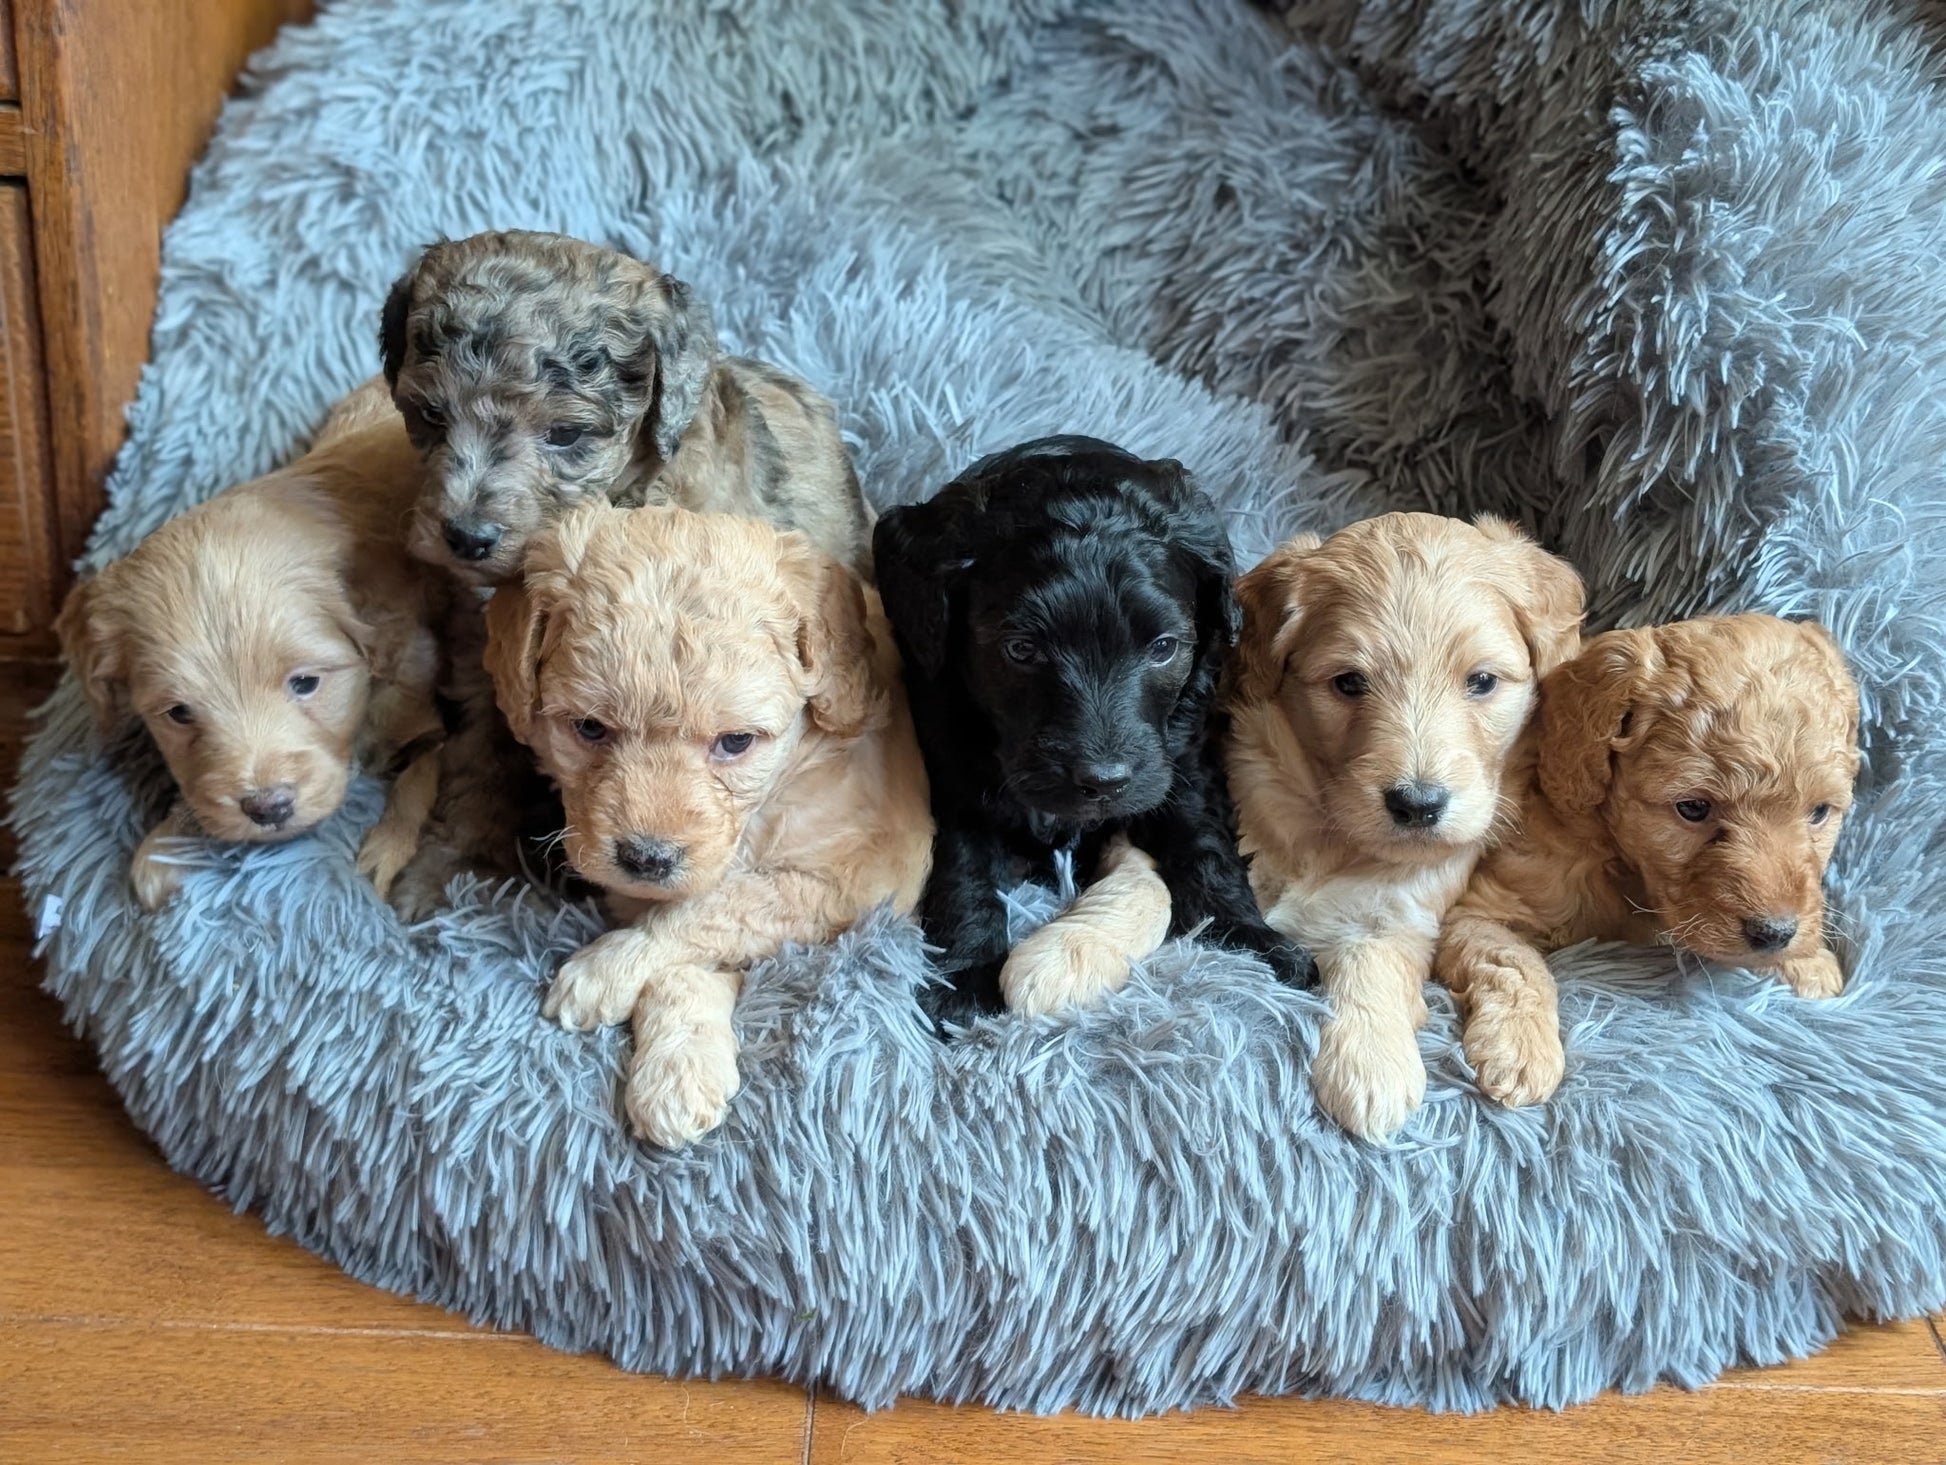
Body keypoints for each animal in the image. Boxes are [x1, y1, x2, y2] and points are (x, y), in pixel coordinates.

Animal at [56, 379, 449, 909]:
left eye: (305, 683)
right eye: (179, 713)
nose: (268, 808)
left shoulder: (420, 694)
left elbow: (418, 777)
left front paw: (385, 853)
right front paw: (166, 845)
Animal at [484, 500, 932, 1146]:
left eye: (736, 741)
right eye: (589, 728)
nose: (647, 858)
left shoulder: (857, 882)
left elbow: (714, 908)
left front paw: (604, 972)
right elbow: (692, 935)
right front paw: (678, 1070)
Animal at [874, 436, 1312, 1026]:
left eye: (1164, 647)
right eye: (1021, 649)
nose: (1104, 782)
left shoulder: (1180, 753)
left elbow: (1201, 837)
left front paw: (1247, 939)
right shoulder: (952, 765)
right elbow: (963, 866)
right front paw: (965, 974)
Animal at [1227, 513, 1584, 1139]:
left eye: (1483, 681)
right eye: (1348, 683)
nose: (1418, 805)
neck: (1332, 836)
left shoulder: (1404, 913)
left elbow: (1372, 962)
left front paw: (1370, 1068)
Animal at [1436, 613, 1861, 1108]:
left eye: (1819, 812)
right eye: (1693, 808)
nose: (1774, 933)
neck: (1622, 863)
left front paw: (1808, 960)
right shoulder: (1477, 910)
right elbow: (1513, 959)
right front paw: (1521, 1049)